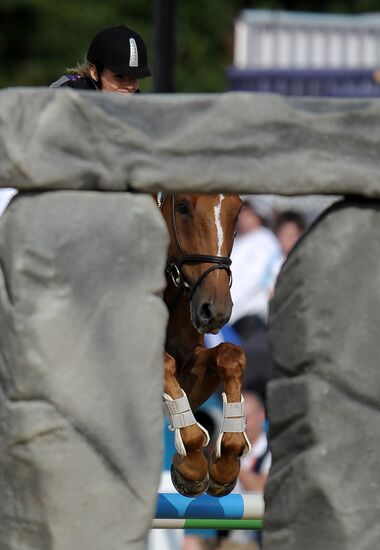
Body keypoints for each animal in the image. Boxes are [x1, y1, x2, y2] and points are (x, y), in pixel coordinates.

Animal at [158, 194, 251, 500]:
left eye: (237, 210)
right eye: (183, 207)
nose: (216, 311)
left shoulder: (191, 367)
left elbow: (230, 355)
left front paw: (225, 463)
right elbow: (164, 363)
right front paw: (193, 466)